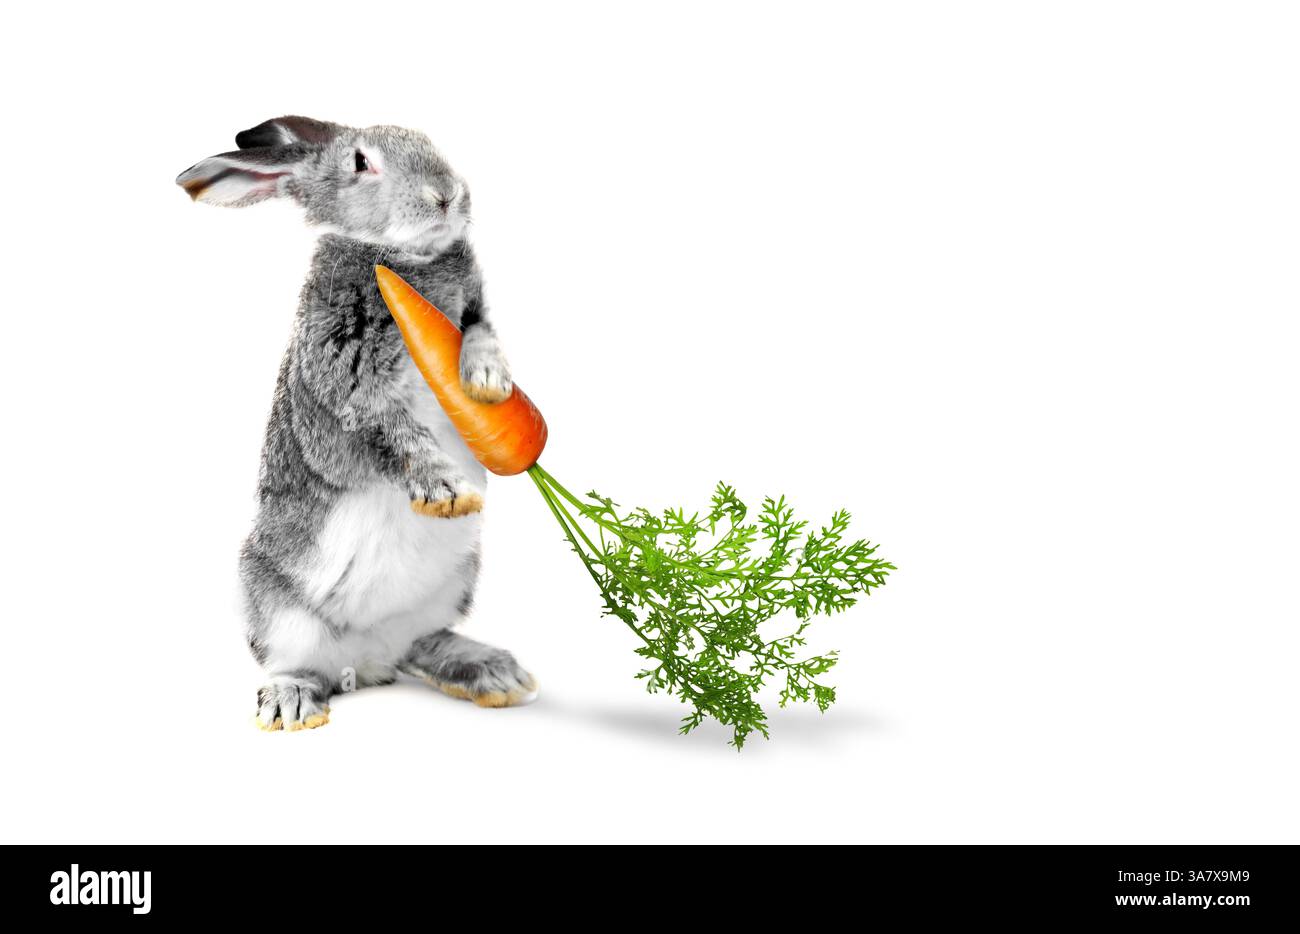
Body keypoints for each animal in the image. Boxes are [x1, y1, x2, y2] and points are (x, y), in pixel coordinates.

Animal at [176, 115, 537, 730]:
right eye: (361, 163)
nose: (447, 195)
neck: (403, 260)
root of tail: (369, 659)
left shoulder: (473, 311)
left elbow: (480, 332)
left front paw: (488, 384)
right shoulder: (350, 387)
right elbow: (396, 434)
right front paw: (449, 493)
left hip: (453, 584)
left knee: (423, 643)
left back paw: (492, 673)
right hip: (275, 604)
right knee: (296, 662)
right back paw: (292, 703)